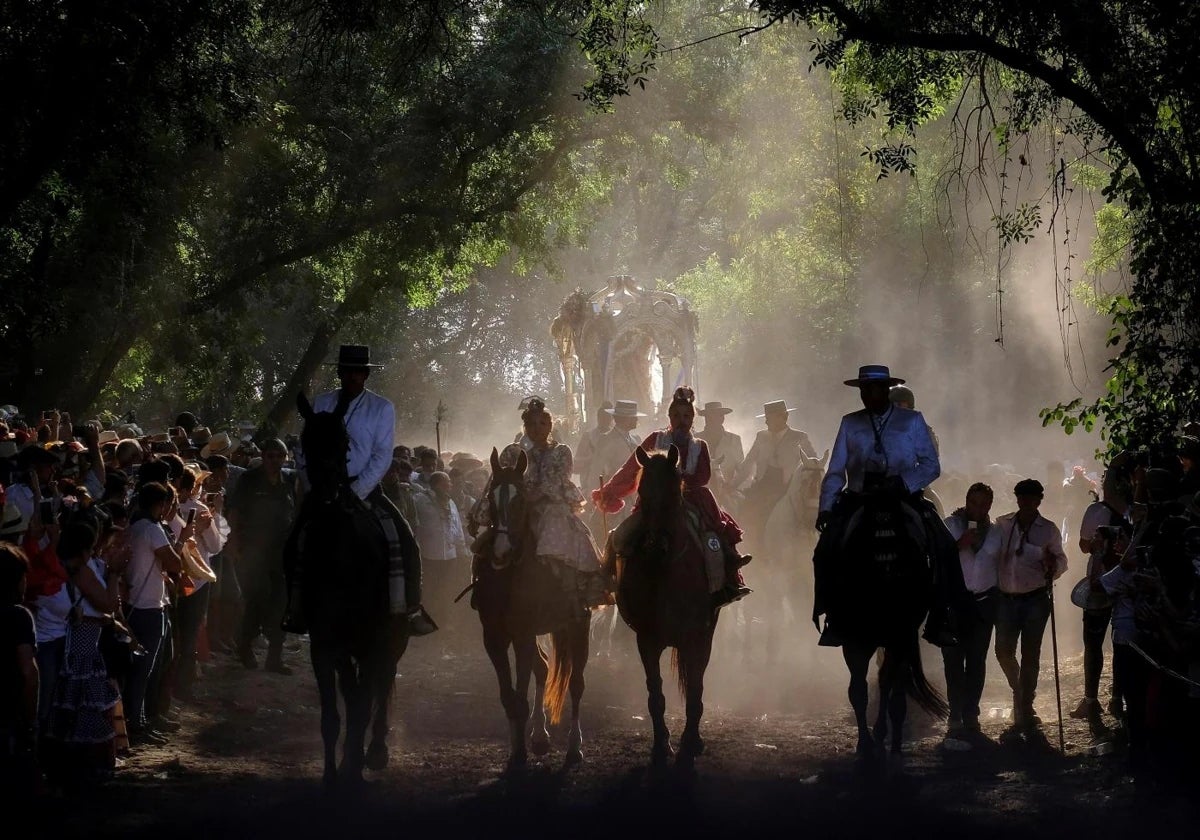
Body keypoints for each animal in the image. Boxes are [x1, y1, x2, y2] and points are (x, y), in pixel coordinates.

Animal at [292, 391, 410, 787]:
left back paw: (375, 752)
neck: (341, 555)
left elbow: (362, 704)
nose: (328, 494)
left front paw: (356, 770)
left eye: (344, 441)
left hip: (393, 638)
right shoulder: (324, 643)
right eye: (305, 441)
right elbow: (334, 712)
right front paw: (334, 773)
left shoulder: (375, 639)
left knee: (381, 683)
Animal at [472, 446, 595, 768]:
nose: (501, 553)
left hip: (578, 626)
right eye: (492, 499)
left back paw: (574, 746)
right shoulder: (494, 636)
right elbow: (509, 697)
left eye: (520, 501)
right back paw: (539, 737)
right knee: (543, 668)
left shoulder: (523, 634)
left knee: (576, 683)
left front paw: (520, 753)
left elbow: (520, 696)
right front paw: (517, 749)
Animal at [614, 446, 715, 768]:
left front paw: (690, 743)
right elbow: (655, 694)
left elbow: (695, 689)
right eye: (642, 493)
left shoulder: (695, 637)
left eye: (673, 492)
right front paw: (661, 745)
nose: (655, 546)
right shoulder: (646, 640)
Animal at [811, 484, 950, 763]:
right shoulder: (857, 639)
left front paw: (883, 737)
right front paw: (866, 743)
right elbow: (859, 689)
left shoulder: (899, 636)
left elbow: (886, 682)